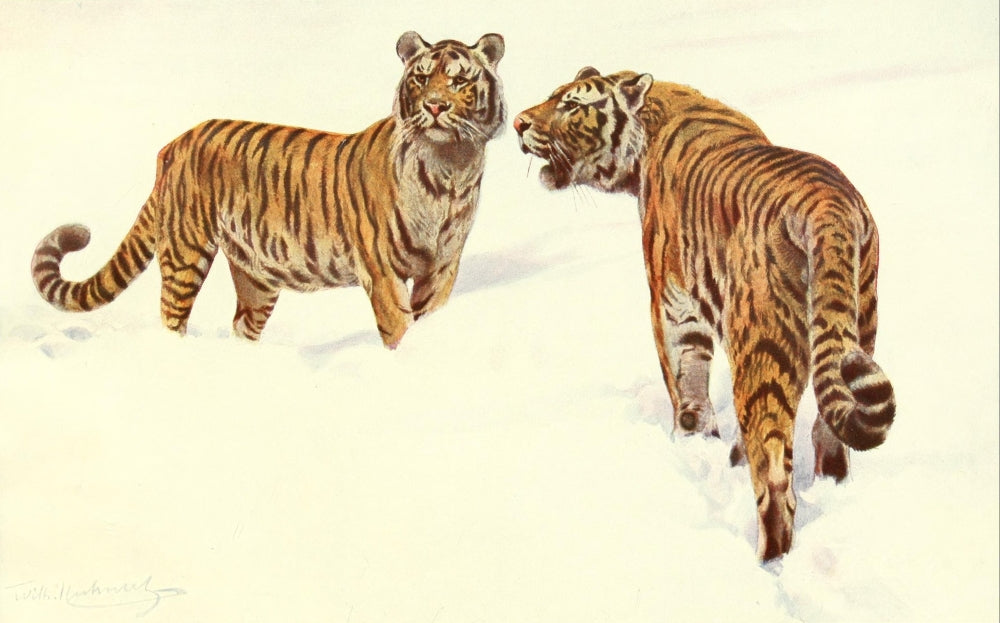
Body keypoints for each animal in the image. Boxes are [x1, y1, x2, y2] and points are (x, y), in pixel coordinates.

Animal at [31, 31, 506, 348]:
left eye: (459, 82)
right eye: (421, 79)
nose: (435, 106)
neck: (450, 168)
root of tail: (174, 144)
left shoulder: (442, 267)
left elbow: (430, 317)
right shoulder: (383, 271)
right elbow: (399, 329)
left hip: (256, 274)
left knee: (242, 326)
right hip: (187, 251)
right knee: (171, 314)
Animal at [514, 67, 896, 561]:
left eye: (573, 105)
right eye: (553, 96)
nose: (519, 124)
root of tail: (826, 203)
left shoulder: (672, 306)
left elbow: (687, 388)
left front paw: (691, 444)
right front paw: (729, 455)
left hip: (763, 350)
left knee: (776, 479)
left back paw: (768, 561)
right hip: (856, 331)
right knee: (828, 436)